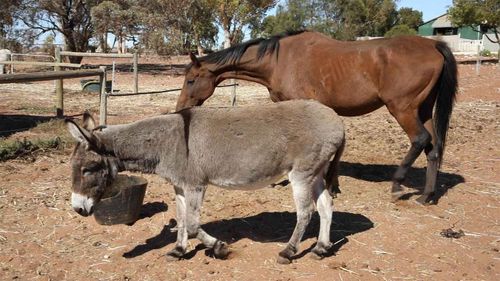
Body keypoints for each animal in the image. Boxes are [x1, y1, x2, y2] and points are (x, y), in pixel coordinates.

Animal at [176, 30, 458, 203]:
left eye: (191, 80)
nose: (180, 108)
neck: (279, 60)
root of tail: (433, 44)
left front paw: (326, 183)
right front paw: (330, 182)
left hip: (402, 109)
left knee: (420, 139)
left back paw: (397, 185)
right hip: (423, 110)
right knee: (434, 147)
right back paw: (426, 195)